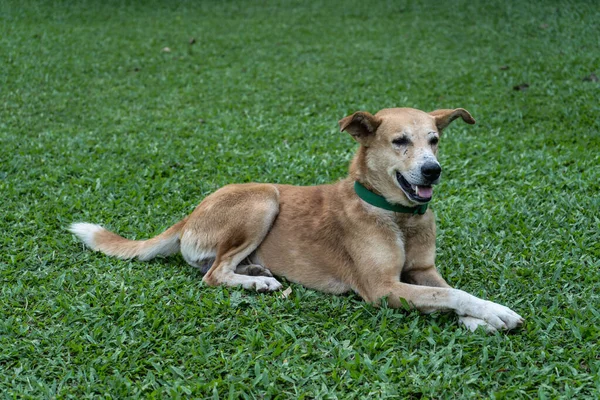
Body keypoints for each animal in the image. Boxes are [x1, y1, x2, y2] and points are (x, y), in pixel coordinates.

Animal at [71, 108, 524, 332]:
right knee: (212, 274)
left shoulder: (423, 269)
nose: (433, 171)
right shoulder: (381, 289)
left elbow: (449, 290)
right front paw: (493, 313)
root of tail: (190, 214)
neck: (395, 215)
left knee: (212, 265)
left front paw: (479, 317)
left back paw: (256, 272)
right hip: (264, 198)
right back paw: (258, 282)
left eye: (434, 140)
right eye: (400, 141)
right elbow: (450, 295)